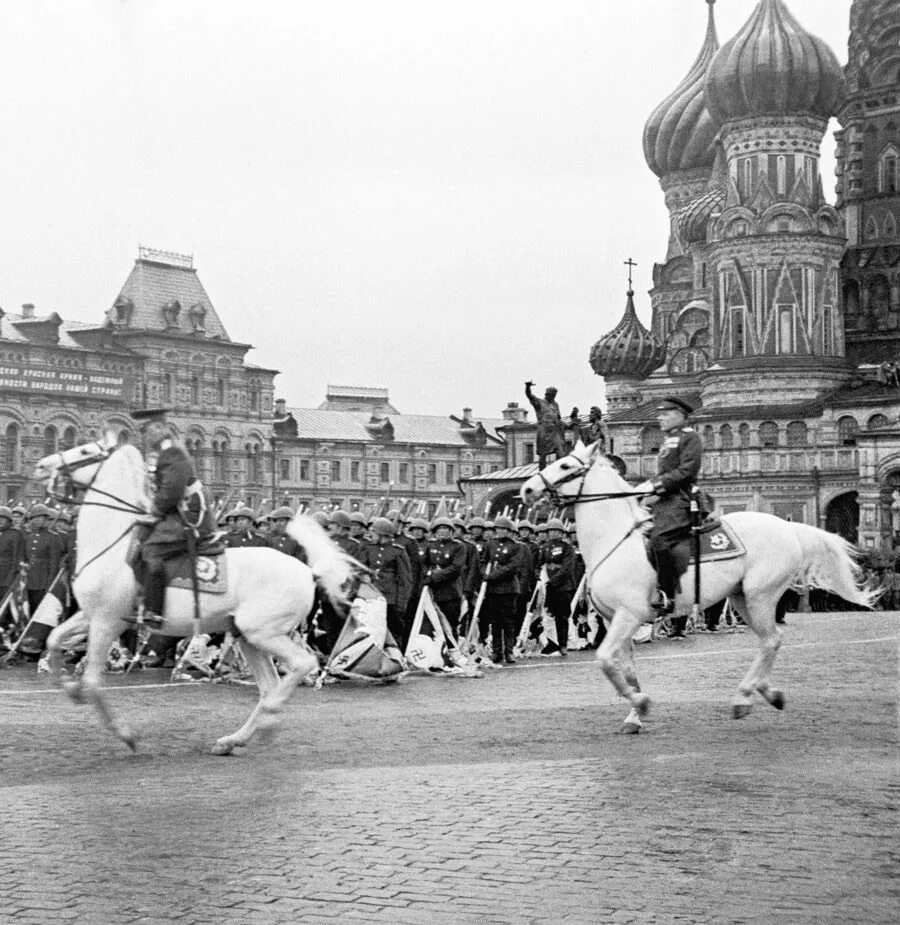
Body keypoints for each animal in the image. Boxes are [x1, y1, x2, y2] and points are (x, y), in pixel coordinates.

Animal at [37, 434, 356, 752]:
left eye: (85, 451)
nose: (42, 465)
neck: (112, 545)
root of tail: (308, 571)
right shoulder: (91, 616)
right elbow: (54, 639)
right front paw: (68, 686)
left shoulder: (108, 622)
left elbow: (92, 682)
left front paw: (125, 733)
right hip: (249, 637)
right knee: (269, 686)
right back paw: (235, 739)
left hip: (264, 633)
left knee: (302, 665)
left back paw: (269, 718)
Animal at [520, 436, 880, 732]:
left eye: (565, 465)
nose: (527, 490)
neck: (615, 540)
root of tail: (787, 527)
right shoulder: (615, 619)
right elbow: (627, 668)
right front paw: (635, 715)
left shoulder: (628, 615)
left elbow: (606, 660)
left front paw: (640, 704)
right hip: (742, 600)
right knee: (770, 640)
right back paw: (767, 692)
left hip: (761, 596)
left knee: (771, 641)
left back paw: (744, 697)